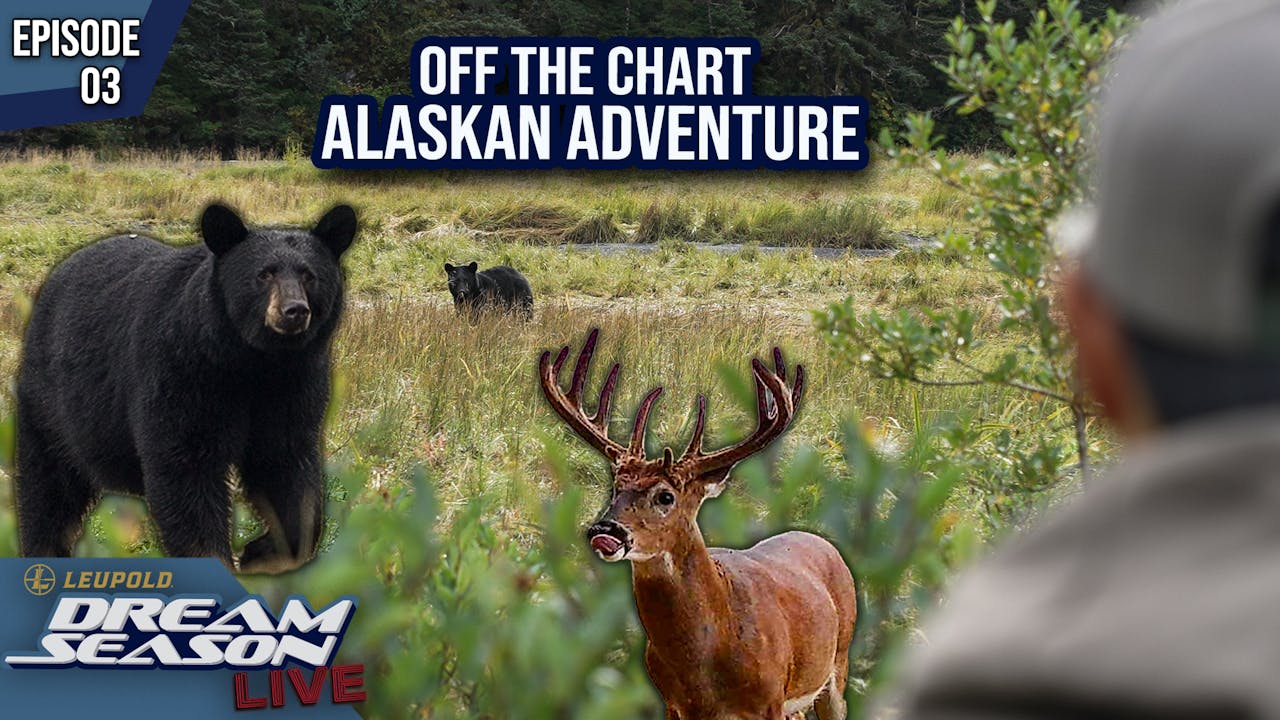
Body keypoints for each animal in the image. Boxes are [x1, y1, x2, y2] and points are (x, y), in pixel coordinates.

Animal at [14, 203, 357, 574]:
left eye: (309, 275)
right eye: (264, 274)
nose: (294, 311)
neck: (252, 362)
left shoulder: (294, 386)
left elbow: (285, 464)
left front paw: (260, 551)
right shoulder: (182, 375)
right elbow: (187, 470)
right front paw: (216, 559)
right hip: (52, 405)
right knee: (48, 486)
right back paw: (45, 550)